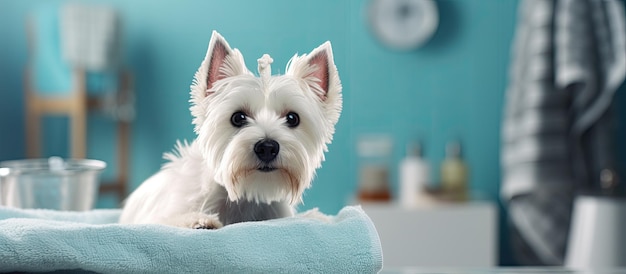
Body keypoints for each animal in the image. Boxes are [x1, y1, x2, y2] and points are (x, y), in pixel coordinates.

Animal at [118, 31, 342, 229]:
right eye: (238, 117)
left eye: (293, 118)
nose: (267, 147)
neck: (246, 196)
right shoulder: (162, 214)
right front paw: (199, 221)